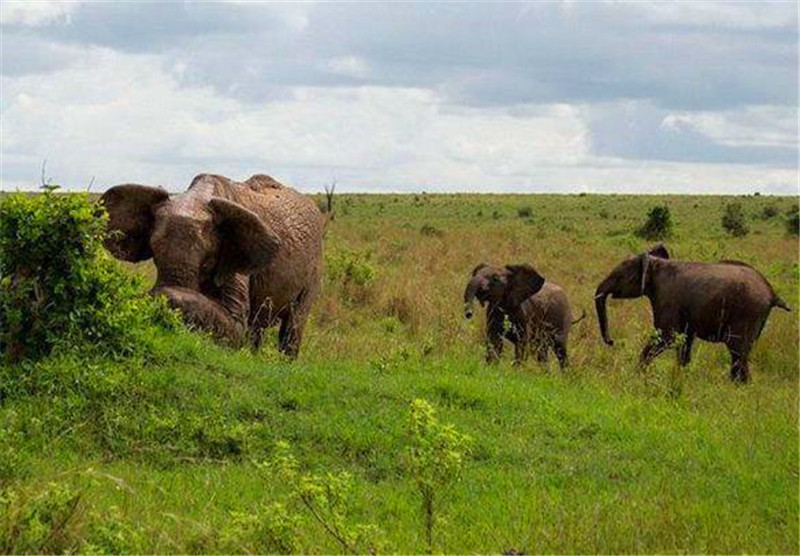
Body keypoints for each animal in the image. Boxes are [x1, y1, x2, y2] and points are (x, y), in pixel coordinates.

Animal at [101, 172, 324, 358]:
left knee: (293, 325)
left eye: (208, 261)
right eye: (154, 253)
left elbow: (237, 326)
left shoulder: (234, 258)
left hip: (315, 267)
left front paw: (167, 296)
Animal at [592, 243, 792, 382]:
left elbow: (667, 337)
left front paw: (637, 375)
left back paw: (739, 387)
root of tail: (772, 292)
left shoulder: (667, 297)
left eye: (618, 277)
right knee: (740, 354)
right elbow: (684, 343)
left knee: (738, 351)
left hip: (747, 312)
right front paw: (682, 377)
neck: (656, 264)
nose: (612, 342)